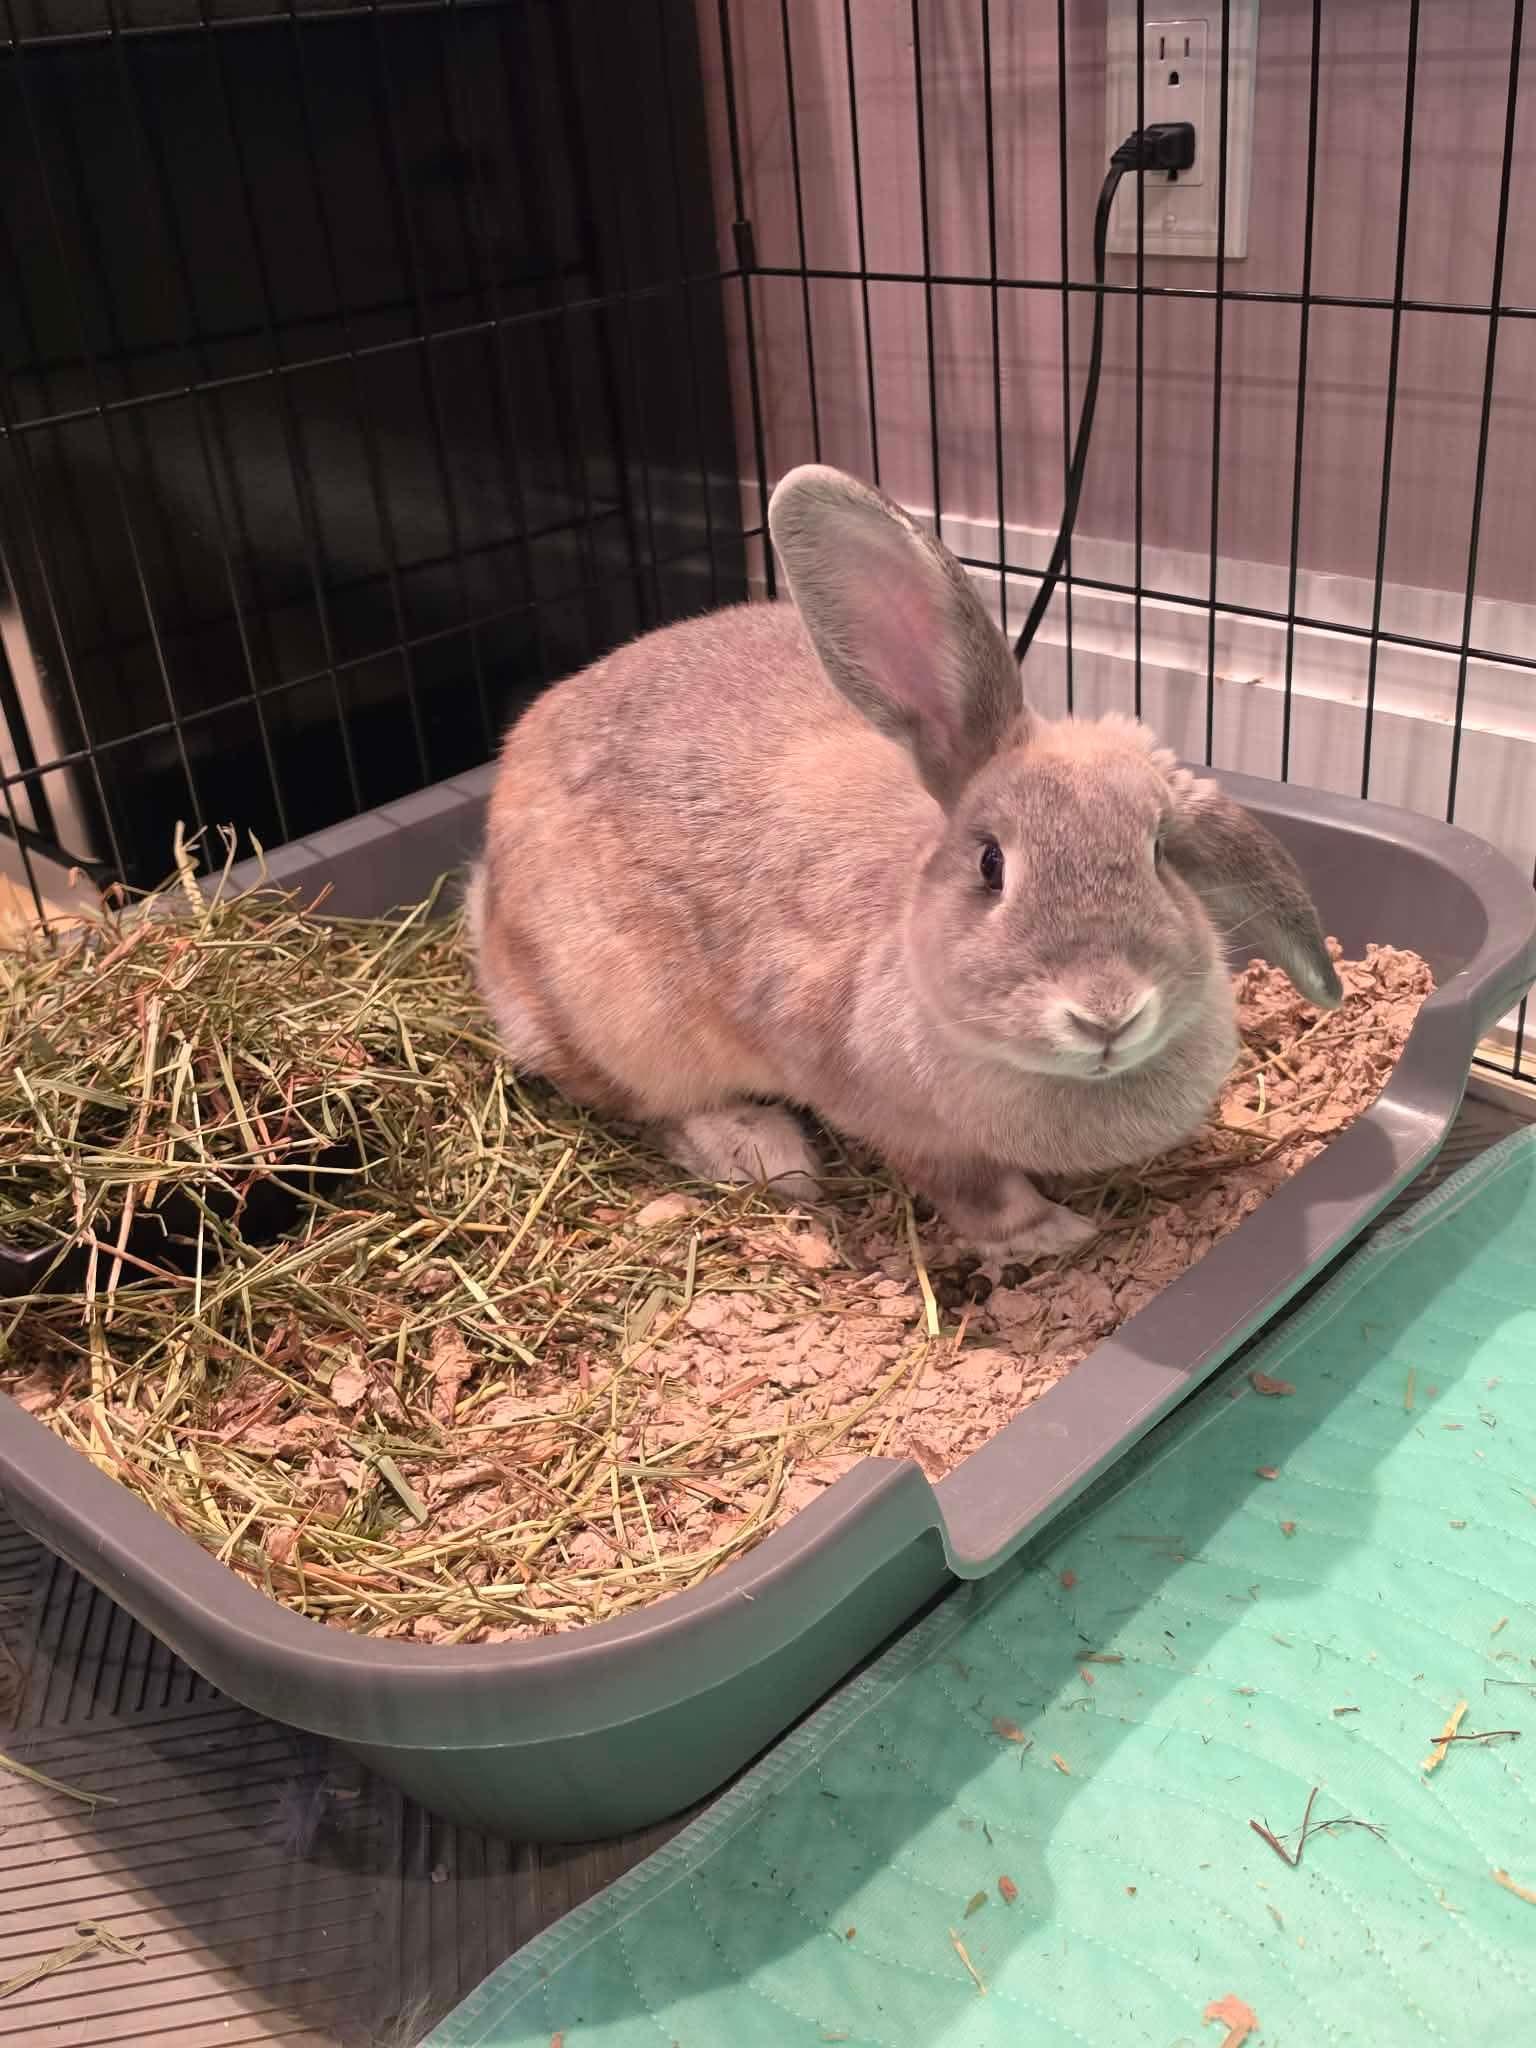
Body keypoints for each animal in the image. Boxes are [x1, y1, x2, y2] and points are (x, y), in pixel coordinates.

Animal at [468, 463, 1341, 1257]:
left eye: (1160, 854)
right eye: (991, 865)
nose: (1107, 1013)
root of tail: (487, 899)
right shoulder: (900, 1124)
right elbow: (977, 1193)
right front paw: (1051, 1237)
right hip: (625, 1022)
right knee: (642, 1102)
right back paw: (765, 1154)